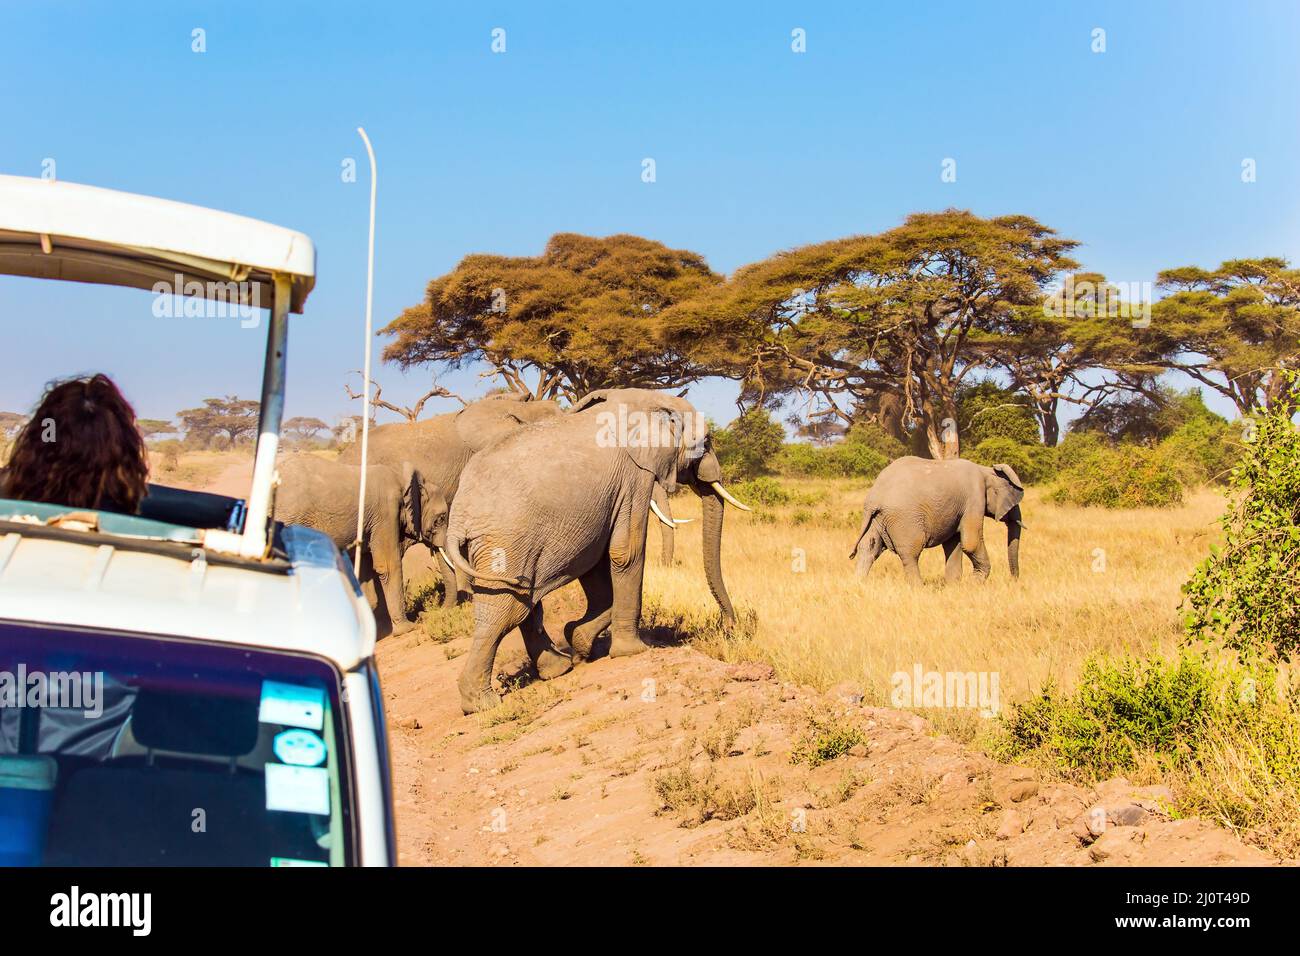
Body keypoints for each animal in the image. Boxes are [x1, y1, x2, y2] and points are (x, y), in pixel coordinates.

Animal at [276, 455, 449, 634]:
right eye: (440, 519)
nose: (425, 614)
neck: (403, 479)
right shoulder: (387, 512)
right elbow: (388, 566)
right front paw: (406, 628)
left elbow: (366, 570)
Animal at [447, 387, 754, 712]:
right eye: (707, 442)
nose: (730, 627)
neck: (648, 399)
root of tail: (459, 517)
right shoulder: (634, 477)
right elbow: (626, 552)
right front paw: (633, 652)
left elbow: (594, 559)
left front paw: (579, 639)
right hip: (505, 543)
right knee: (506, 611)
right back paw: (482, 704)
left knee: (524, 603)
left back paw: (558, 668)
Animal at [852, 455, 1024, 582]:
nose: (1013, 580)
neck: (985, 470)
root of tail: (874, 497)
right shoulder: (975, 498)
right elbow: (970, 543)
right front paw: (974, 583)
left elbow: (953, 544)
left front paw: (954, 587)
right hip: (904, 519)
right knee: (910, 554)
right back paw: (918, 589)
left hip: (877, 518)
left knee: (869, 547)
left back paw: (860, 584)